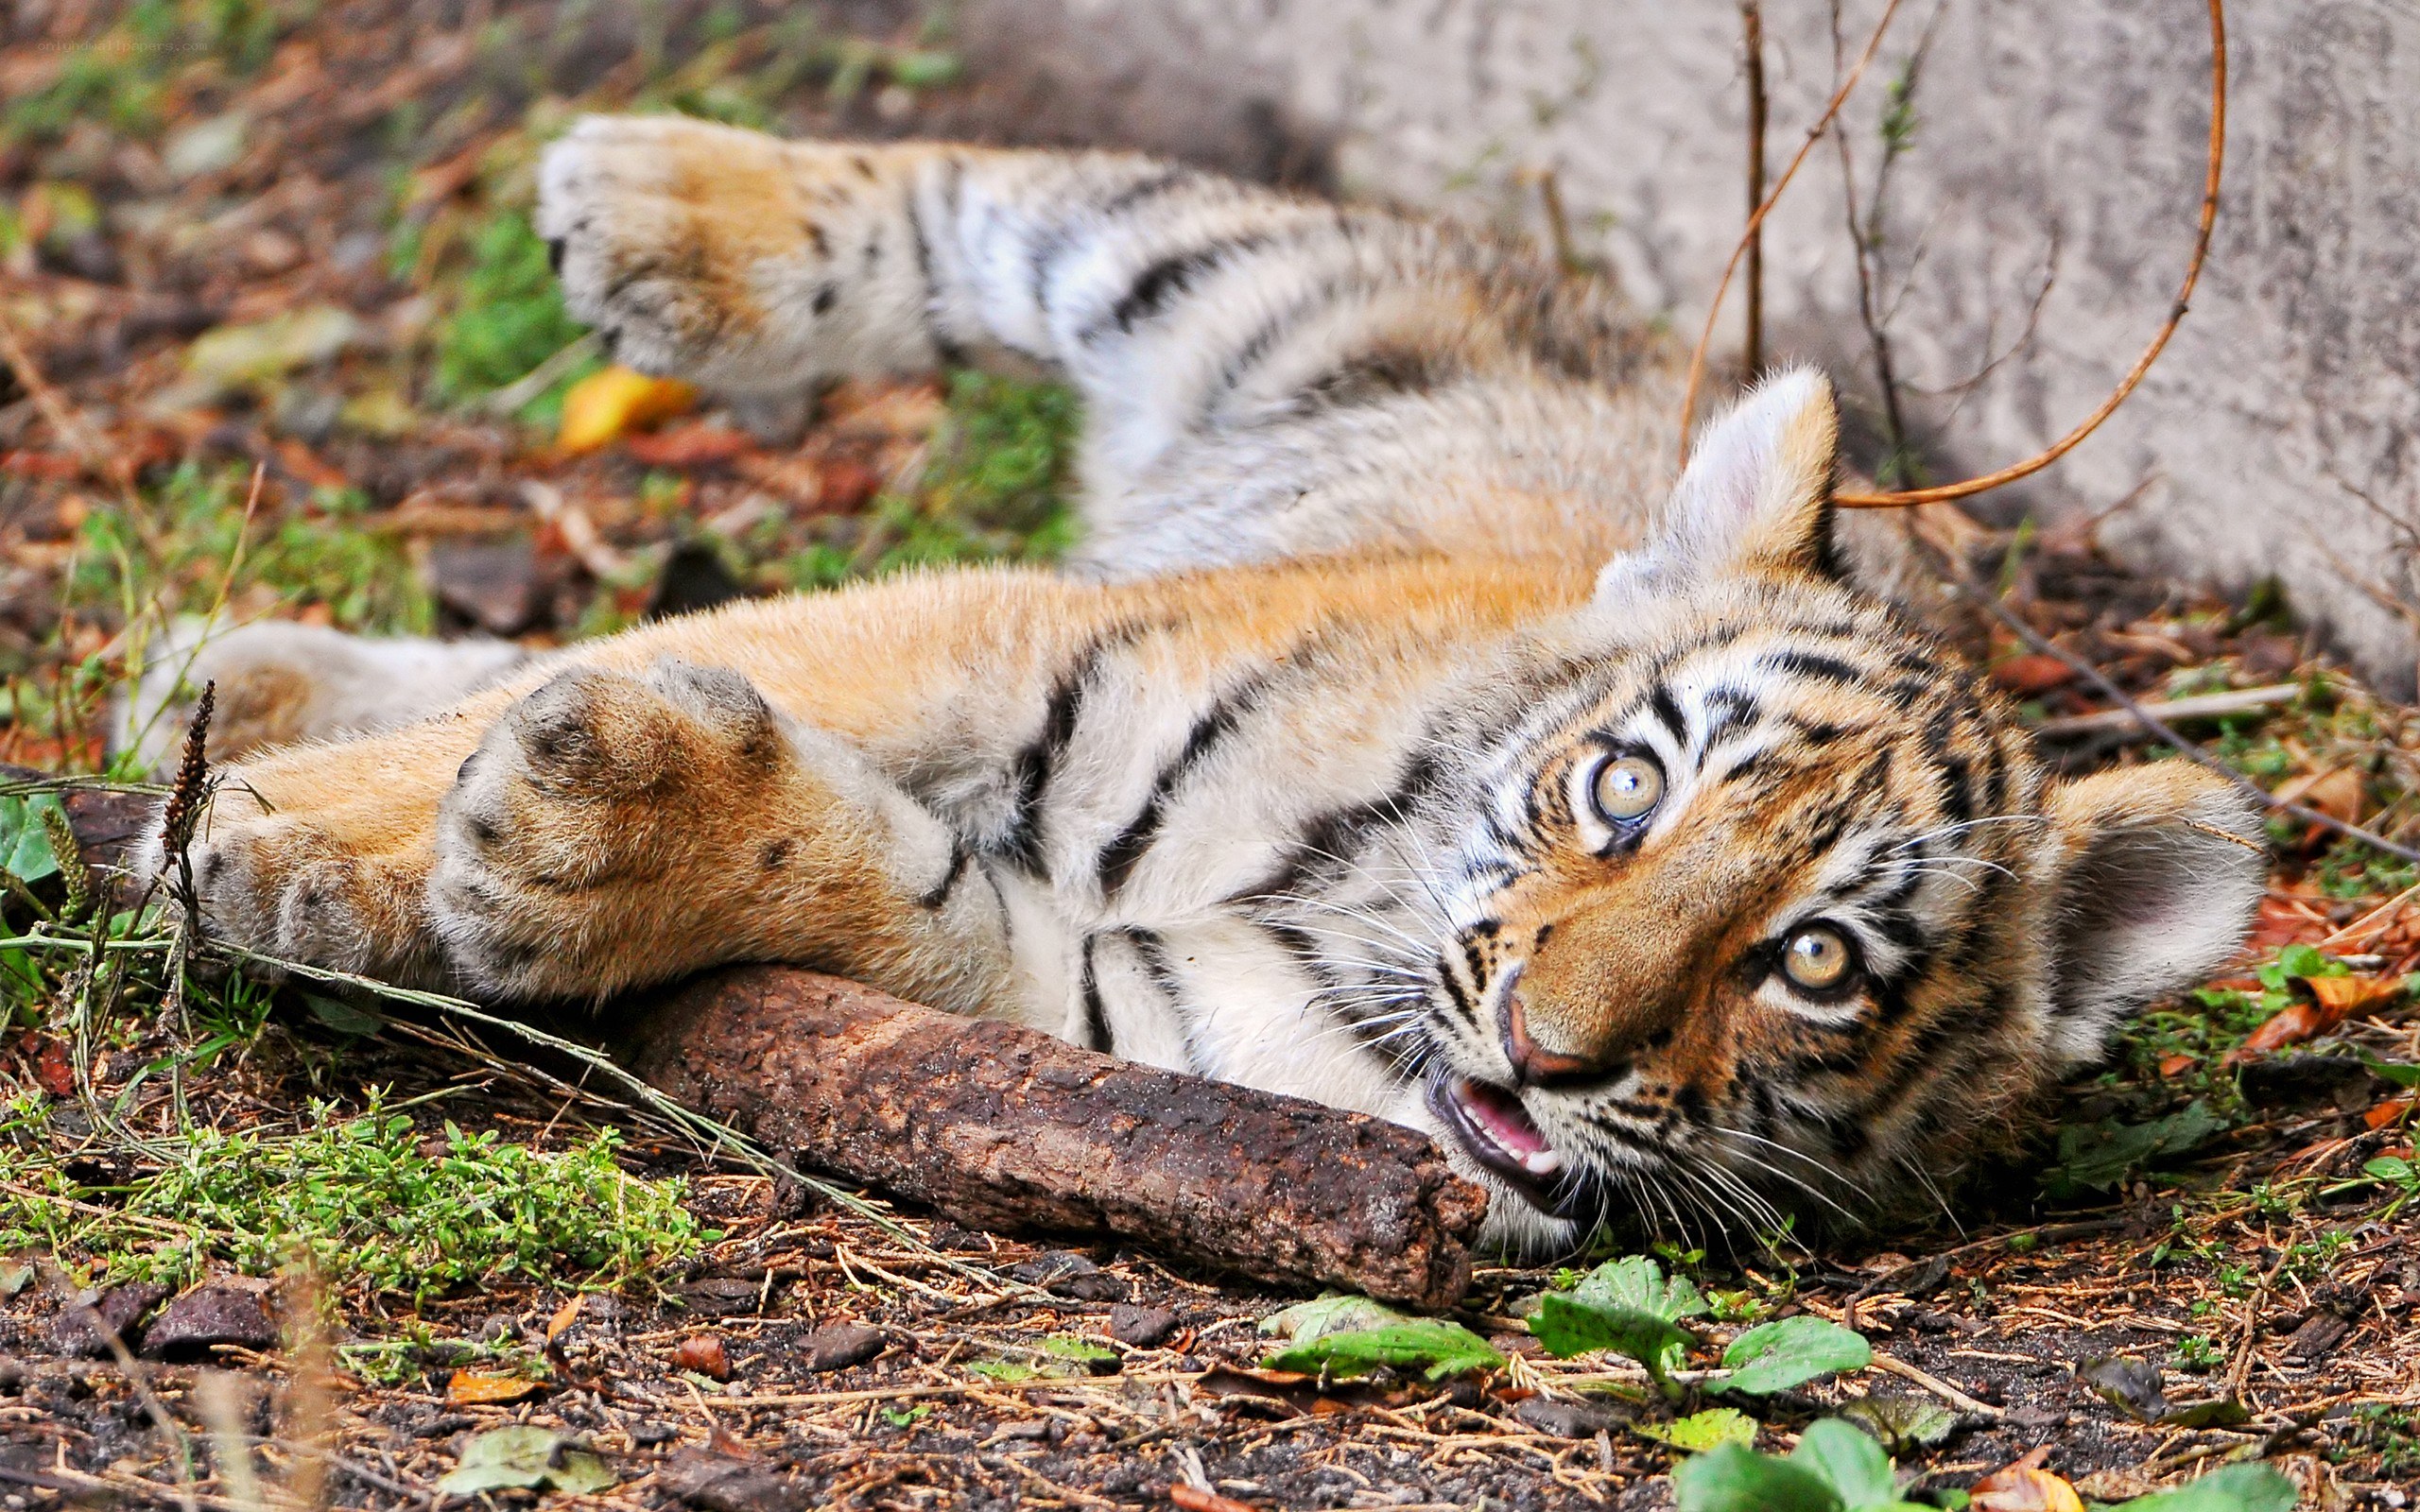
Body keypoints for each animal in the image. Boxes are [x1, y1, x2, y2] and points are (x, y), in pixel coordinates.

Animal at [132, 114, 2265, 1256]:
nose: (1545, 1052)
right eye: (1627, 789)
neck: (1344, 908)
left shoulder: (1096, 1012)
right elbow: (676, 650)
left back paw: (228, 682)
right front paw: (307, 839)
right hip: (1249, 285)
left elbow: (869, 878)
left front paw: (572, 840)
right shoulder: (997, 631)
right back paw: (661, 208)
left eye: (1812, 961)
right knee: (1005, 200)